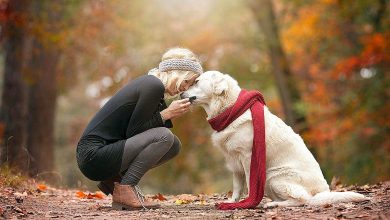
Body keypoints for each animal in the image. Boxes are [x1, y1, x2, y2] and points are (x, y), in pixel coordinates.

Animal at [181, 71, 368, 208]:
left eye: (197, 81)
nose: (181, 93)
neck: (230, 109)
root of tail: (323, 192)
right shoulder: (234, 161)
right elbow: (237, 186)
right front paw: (232, 202)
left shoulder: (248, 157)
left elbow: (249, 183)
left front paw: (248, 202)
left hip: (274, 176)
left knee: (303, 200)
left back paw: (273, 205)